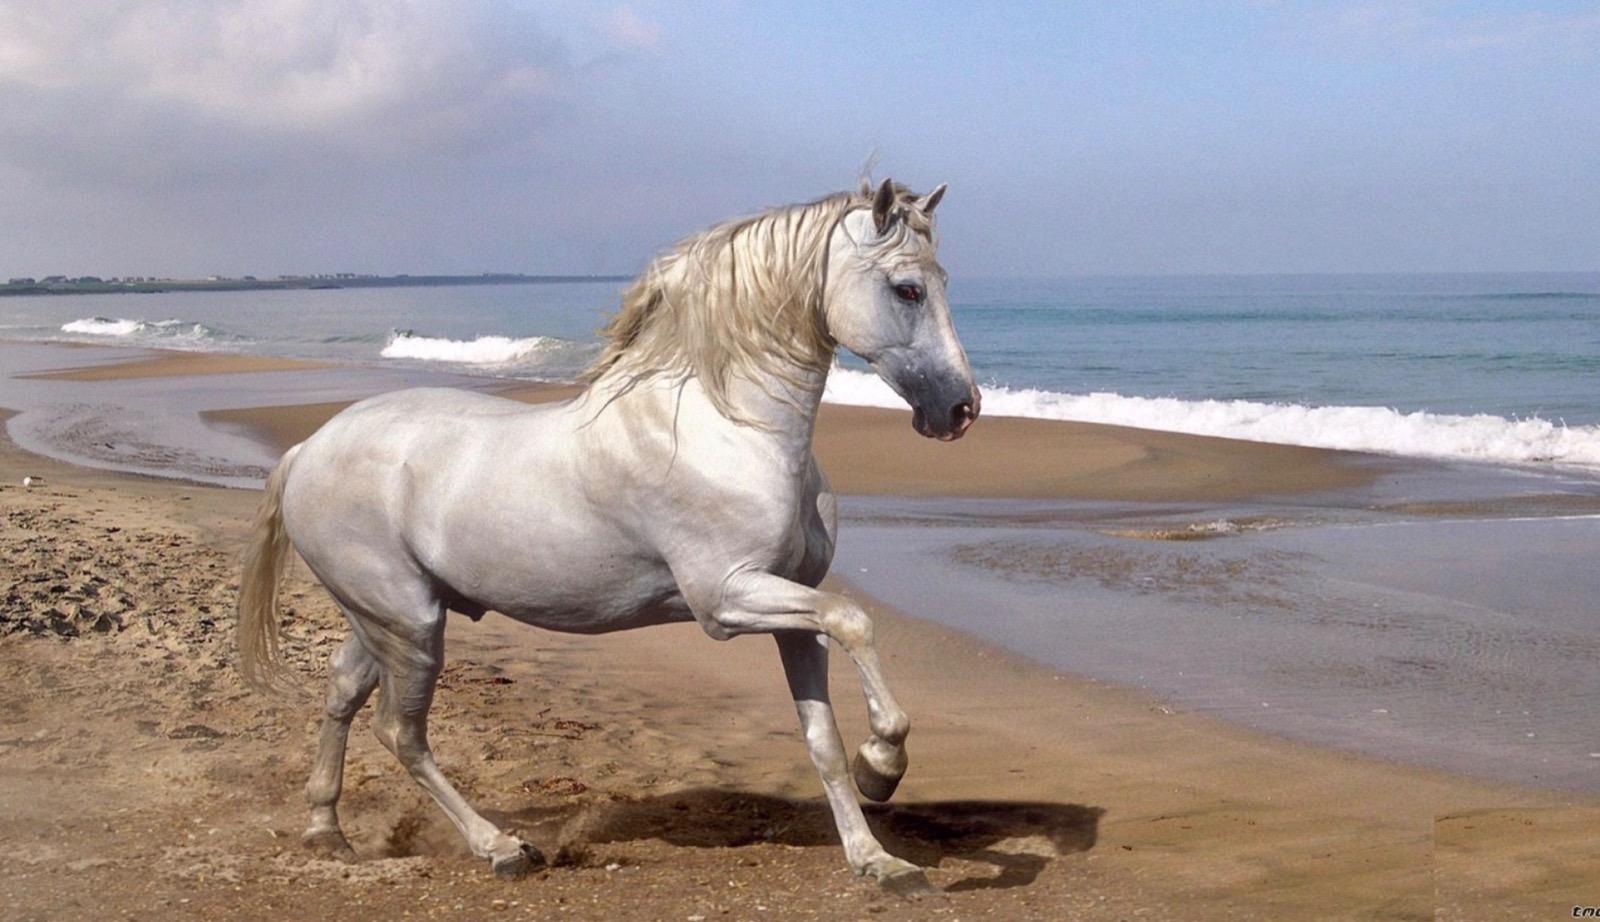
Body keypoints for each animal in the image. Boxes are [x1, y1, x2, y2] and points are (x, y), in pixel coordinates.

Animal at [237, 178, 980, 894]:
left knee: (342, 693)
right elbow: (857, 621)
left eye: (942, 279)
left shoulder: (793, 610)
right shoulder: (726, 600)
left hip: (385, 618)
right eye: (907, 288)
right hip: (410, 624)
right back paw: (502, 848)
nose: (960, 408)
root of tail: (307, 449)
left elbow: (822, 737)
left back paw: (326, 830)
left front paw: (878, 860)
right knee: (401, 731)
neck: (729, 426)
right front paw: (882, 765)